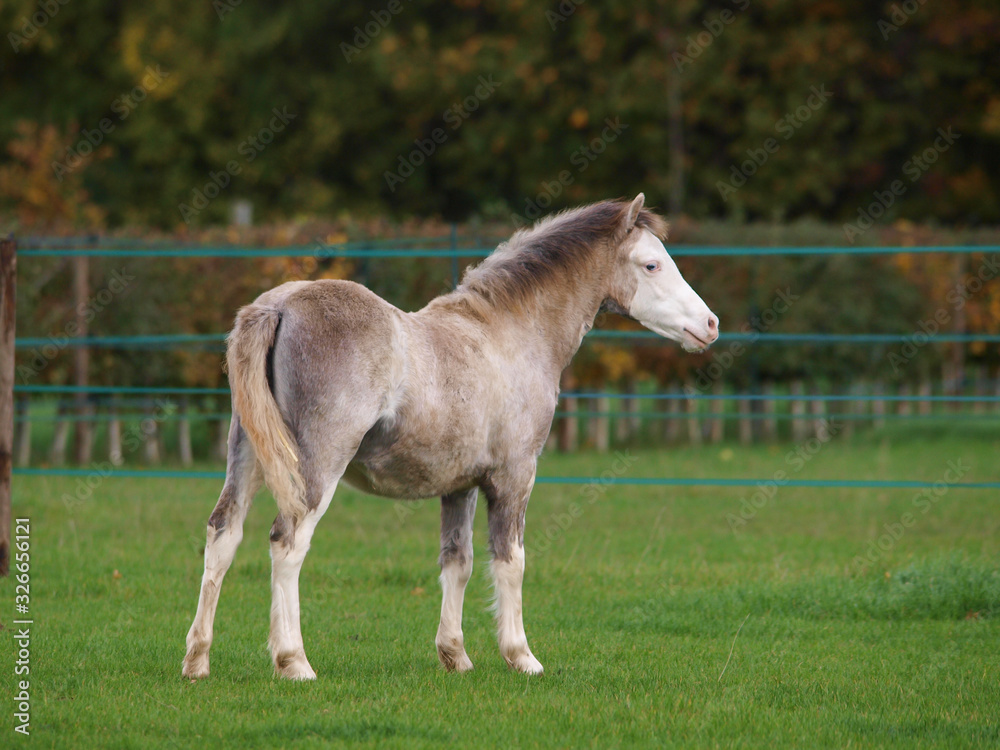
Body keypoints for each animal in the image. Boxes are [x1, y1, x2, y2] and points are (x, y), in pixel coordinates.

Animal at [182, 194, 719, 680]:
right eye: (651, 264)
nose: (710, 324)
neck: (508, 334)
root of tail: (277, 307)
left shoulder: (459, 486)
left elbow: (457, 562)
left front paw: (455, 656)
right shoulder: (514, 477)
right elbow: (510, 560)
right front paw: (521, 656)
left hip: (247, 455)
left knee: (223, 534)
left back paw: (198, 661)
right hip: (316, 468)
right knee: (288, 542)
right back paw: (294, 662)